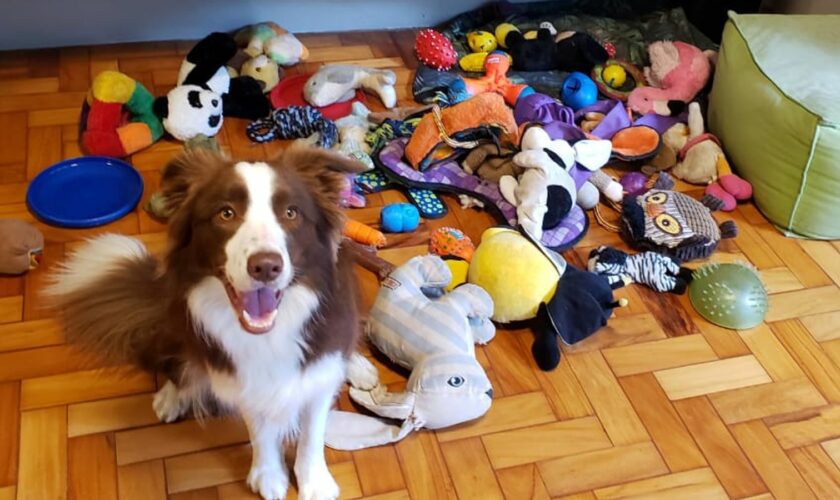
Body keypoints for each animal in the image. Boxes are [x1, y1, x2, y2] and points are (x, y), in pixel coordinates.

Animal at [46, 146, 374, 498]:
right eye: (226, 214)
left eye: (291, 213)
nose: (266, 267)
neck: (269, 333)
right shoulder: (237, 374)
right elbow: (259, 429)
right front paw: (269, 474)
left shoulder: (319, 369)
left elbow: (313, 430)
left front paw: (313, 482)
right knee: (176, 362)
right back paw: (172, 396)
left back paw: (358, 366)